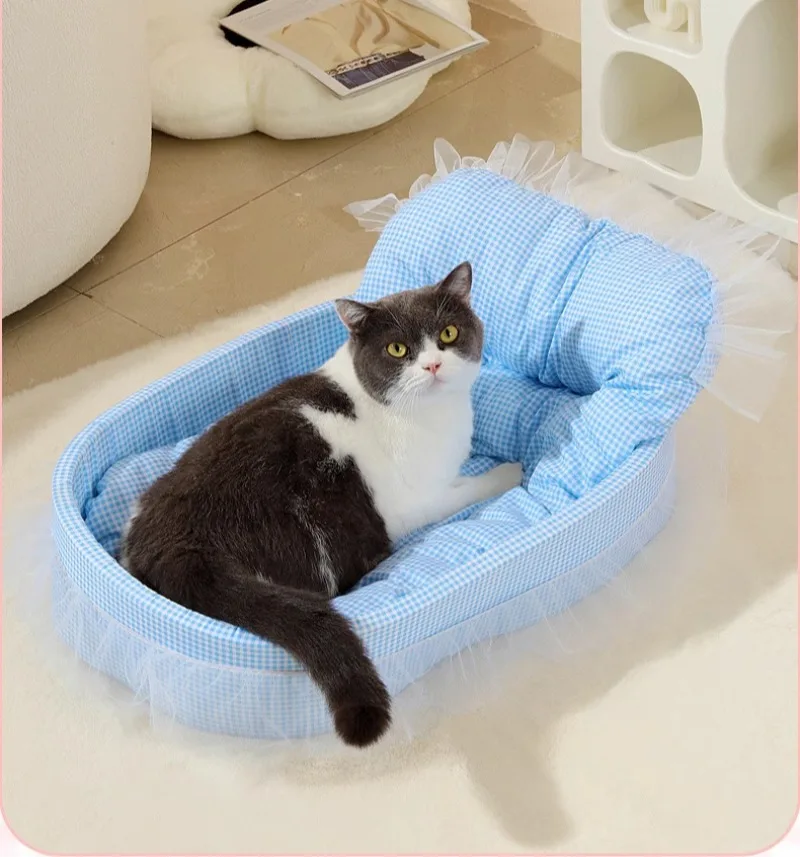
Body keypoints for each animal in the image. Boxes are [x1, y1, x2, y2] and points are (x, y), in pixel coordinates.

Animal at [120, 262, 522, 747]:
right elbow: (471, 488)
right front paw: (512, 472)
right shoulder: (416, 501)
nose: (433, 364)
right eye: (397, 349)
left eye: (448, 333)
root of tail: (176, 545)